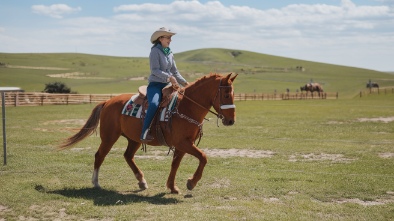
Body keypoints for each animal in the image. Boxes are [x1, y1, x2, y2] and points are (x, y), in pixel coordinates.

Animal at [58, 73, 237, 193]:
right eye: (226, 94)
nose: (231, 121)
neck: (186, 107)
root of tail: (108, 101)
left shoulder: (183, 145)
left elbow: (175, 164)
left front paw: (172, 187)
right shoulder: (183, 143)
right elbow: (203, 157)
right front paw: (191, 182)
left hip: (134, 139)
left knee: (128, 156)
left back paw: (142, 181)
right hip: (109, 137)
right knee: (99, 155)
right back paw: (95, 182)